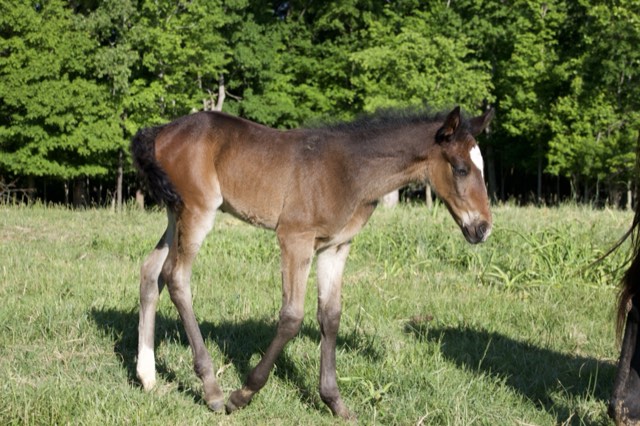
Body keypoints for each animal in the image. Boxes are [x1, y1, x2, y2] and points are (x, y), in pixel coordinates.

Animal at [130, 105, 494, 419]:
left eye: (482, 168)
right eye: (461, 168)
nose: (483, 228)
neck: (350, 171)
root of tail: (161, 131)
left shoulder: (336, 247)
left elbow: (330, 316)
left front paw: (335, 403)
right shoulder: (295, 238)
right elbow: (292, 317)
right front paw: (244, 394)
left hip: (176, 213)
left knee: (151, 271)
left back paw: (147, 376)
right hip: (197, 211)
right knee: (176, 276)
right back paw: (212, 390)